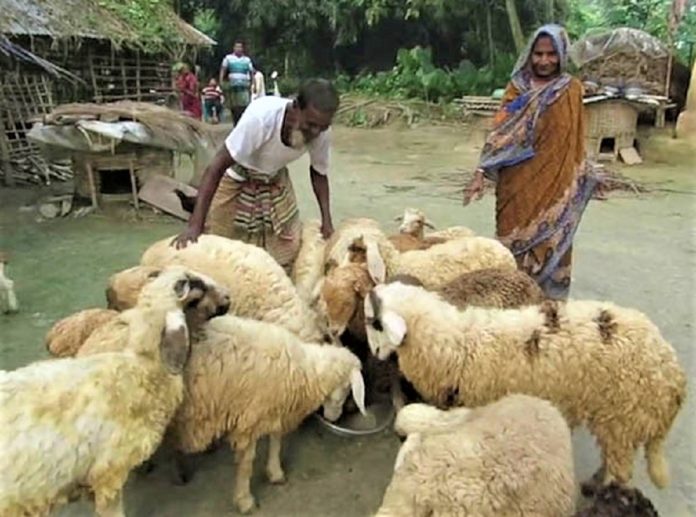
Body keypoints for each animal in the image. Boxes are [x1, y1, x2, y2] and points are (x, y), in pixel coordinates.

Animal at [164, 314, 368, 512]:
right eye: (348, 388)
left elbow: (276, 440)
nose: (332, 418)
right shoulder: (248, 420)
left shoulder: (275, 407)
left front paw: (275, 471)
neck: (305, 370)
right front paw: (245, 500)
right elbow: (247, 463)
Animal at [368, 282, 688, 492]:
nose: (373, 354)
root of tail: (673, 374)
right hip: (620, 422)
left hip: (622, 417)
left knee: (620, 471)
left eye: (374, 322)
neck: (458, 344)